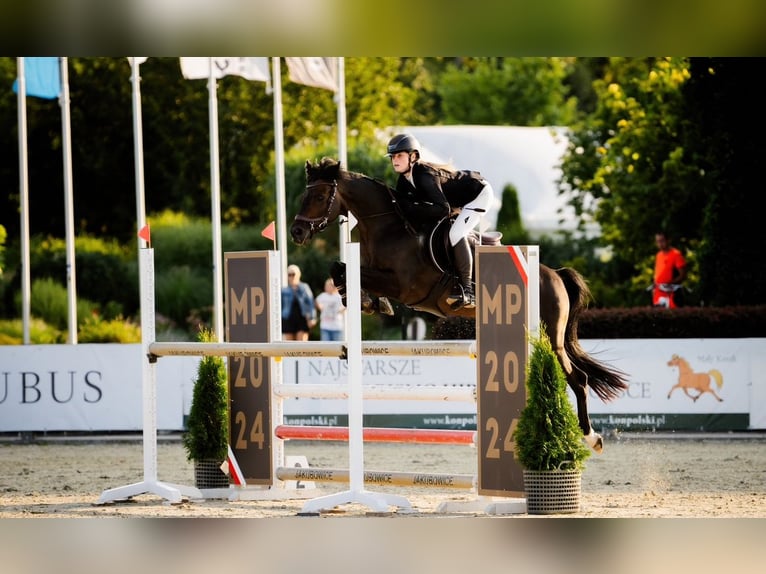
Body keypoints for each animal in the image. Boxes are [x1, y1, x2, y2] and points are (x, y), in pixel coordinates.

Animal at [292, 159, 628, 454]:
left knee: (578, 378)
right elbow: (341, 268)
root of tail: (555, 274)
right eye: (303, 196)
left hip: (549, 336)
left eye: (320, 196)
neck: (389, 227)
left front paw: (366, 300)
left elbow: (351, 271)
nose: (296, 232)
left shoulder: (405, 286)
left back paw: (591, 437)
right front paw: (364, 300)